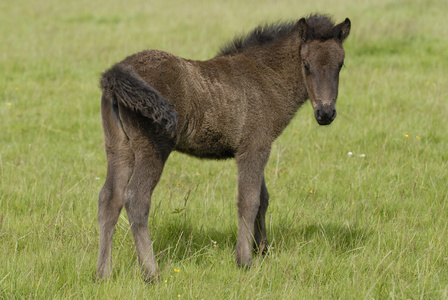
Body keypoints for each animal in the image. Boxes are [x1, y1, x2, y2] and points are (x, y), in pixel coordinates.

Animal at [96, 13, 352, 282]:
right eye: (306, 64)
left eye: (340, 64)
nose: (325, 113)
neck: (265, 77)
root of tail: (118, 72)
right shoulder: (254, 148)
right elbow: (249, 201)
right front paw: (244, 260)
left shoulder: (259, 147)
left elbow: (263, 199)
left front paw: (262, 250)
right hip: (153, 149)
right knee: (136, 199)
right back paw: (151, 272)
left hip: (119, 148)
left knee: (109, 198)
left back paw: (102, 273)